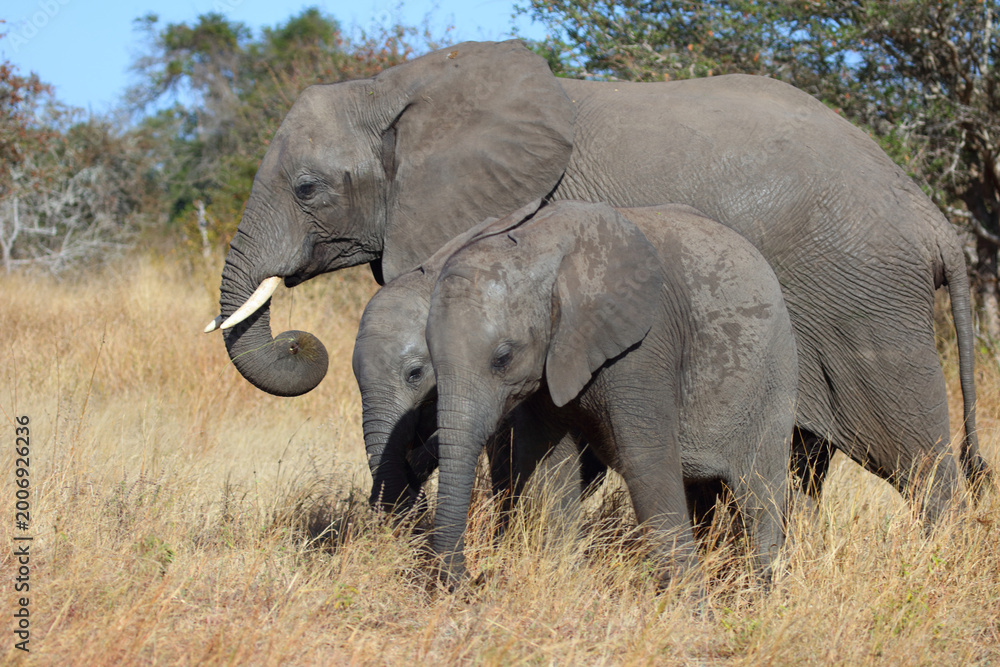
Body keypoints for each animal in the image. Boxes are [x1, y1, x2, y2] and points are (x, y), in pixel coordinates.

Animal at [206, 39, 989, 525]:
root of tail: (931, 219)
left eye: (307, 188)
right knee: (801, 462)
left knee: (914, 460)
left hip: (868, 307)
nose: (301, 342)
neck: (398, 86)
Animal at [423, 200, 798, 585]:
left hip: (772, 379)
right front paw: (565, 575)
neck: (538, 244)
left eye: (502, 358)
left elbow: (647, 460)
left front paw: (686, 600)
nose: (473, 578)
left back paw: (759, 588)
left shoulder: (644, 344)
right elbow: (548, 464)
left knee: (758, 497)